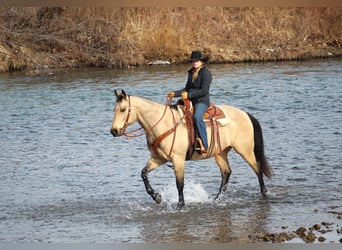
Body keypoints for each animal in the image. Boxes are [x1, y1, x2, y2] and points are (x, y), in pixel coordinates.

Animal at [111, 89, 272, 208]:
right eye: (114, 109)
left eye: (123, 109)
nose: (114, 131)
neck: (164, 123)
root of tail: (245, 114)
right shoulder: (159, 158)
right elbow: (144, 173)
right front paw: (156, 197)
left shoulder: (178, 159)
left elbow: (179, 183)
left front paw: (180, 205)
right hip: (221, 153)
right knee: (226, 173)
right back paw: (216, 199)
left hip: (245, 150)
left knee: (257, 168)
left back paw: (264, 193)